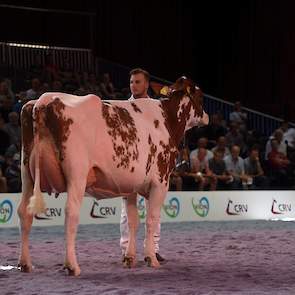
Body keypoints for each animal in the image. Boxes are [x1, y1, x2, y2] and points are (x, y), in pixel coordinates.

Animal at [17, 76, 208, 276]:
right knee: (71, 213)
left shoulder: (130, 185)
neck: (166, 119)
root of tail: (43, 100)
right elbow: (151, 219)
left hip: (26, 173)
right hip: (76, 173)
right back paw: (72, 266)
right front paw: (151, 258)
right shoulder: (160, 181)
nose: (206, 116)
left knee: (24, 211)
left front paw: (129, 258)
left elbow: (132, 220)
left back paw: (25, 263)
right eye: (201, 96)